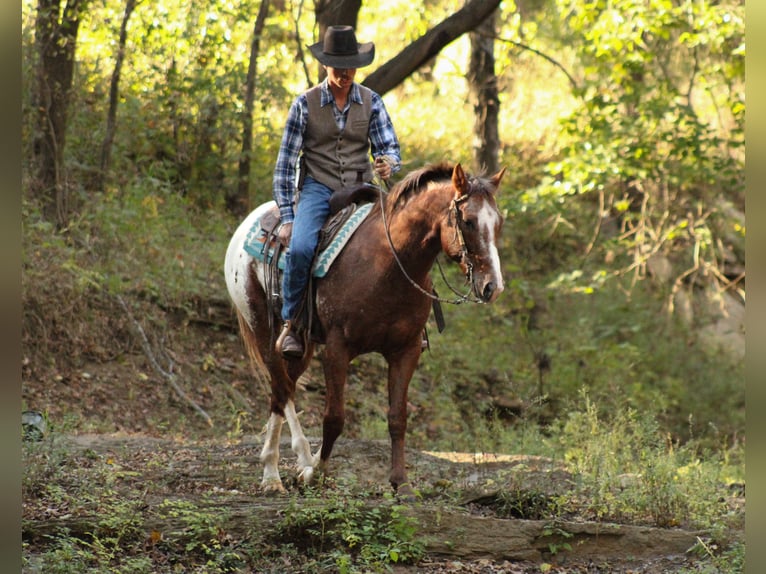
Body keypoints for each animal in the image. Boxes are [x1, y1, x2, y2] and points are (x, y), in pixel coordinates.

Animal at [224, 162, 506, 495]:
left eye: (498, 223)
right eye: (469, 221)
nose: (493, 287)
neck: (389, 264)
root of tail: (251, 220)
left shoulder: (406, 350)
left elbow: (398, 417)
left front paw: (400, 483)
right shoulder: (337, 349)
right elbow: (334, 417)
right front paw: (317, 473)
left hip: (300, 344)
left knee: (284, 389)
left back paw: (296, 461)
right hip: (263, 330)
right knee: (281, 388)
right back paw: (275, 472)